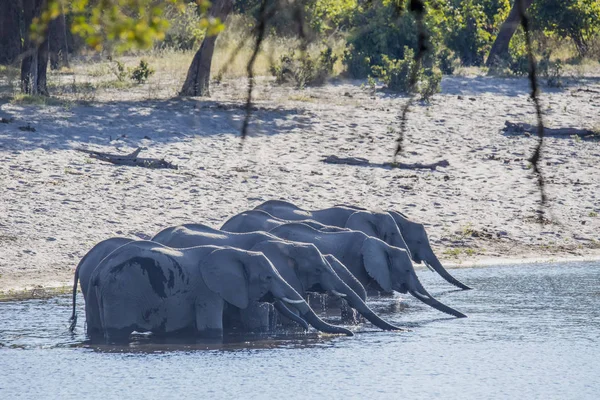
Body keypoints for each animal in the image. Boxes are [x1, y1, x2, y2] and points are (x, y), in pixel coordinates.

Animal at [86, 239, 354, 342]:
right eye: (267, 277)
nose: (351, 334)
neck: (237, 252)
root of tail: (98, 271)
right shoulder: (208, 292)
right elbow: (212, 330)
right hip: (120, 294)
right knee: (117, 332)